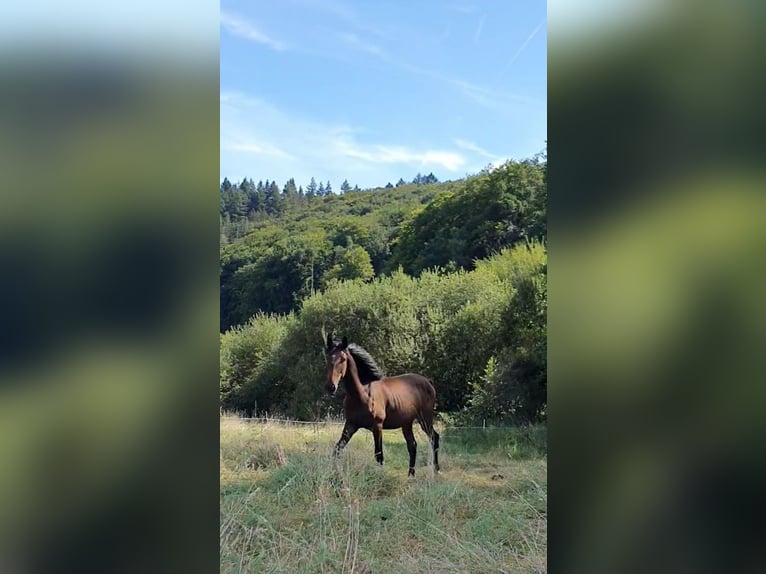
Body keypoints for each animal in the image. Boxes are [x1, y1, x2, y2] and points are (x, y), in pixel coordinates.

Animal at [326, 332, 444, 476]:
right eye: (328, 358)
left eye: (343, 359)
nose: (331, 387)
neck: (363, 394)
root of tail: (428, 382)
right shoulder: (351, 425)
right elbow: (337, 449)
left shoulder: (377, 426)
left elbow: (379, 455)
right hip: (407, 423)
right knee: (412, 445)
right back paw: (411, 475)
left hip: (425, 419)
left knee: (434, 438)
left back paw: (437, 470)